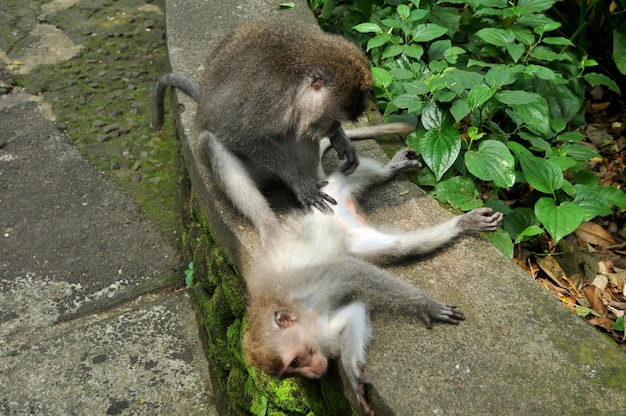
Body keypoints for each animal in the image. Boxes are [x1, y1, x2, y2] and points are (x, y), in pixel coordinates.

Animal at [152, 17, 414, 237]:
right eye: (333, 119)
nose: (333, 130)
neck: (297, 79)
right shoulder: (268, 95)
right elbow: (236, 134)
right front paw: (299, 181)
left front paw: (342, 142)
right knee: (212, 141)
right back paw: (270, 228)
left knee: (300, 136)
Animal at [241, 149, 500, 412]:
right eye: (290, 372)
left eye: (295, 362)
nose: (314, 374)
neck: (300, 314)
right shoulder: (322, 330)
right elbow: (353, 313)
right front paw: (354, 376)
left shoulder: (305, 283)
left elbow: (352, 271)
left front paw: (424, 304)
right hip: (353, 233)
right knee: (397, 248)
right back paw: (459, 223)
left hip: (330, 191)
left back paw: (390, 171)